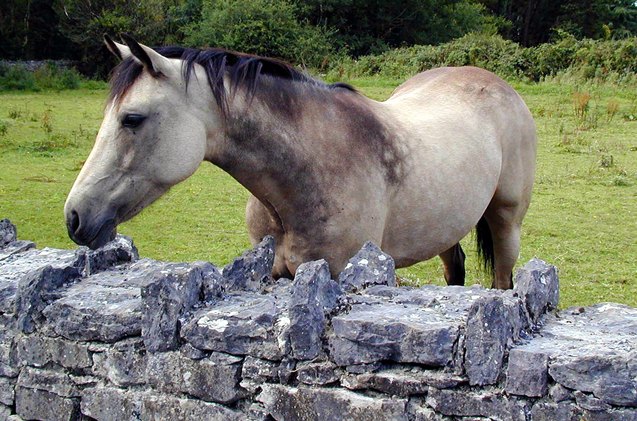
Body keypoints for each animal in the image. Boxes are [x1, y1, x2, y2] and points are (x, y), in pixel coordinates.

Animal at [64, 35, 536, 288]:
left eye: (132, 118)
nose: (74, 216)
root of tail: (493, 82)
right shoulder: (275, 272)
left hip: (507, 224)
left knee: (502, 280)